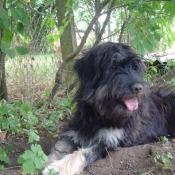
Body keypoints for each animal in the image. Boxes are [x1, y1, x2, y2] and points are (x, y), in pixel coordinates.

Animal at [43, 42, 175, 175]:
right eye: (113, 66)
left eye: (135, 68)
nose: (138, 88)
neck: (101, 115)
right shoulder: (76, 131)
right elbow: (59, 147)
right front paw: (45, 162)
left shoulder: (109, 142)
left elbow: (83, 152)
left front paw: (59, 167)